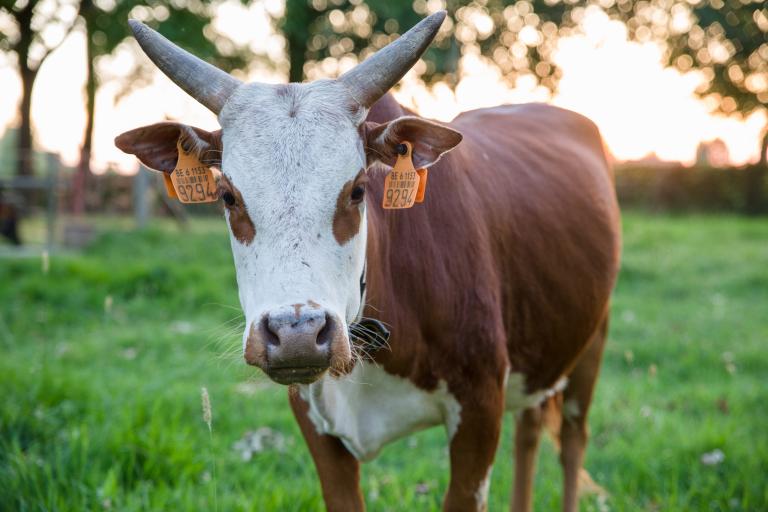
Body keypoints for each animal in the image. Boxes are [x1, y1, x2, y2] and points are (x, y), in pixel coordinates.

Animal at [115, 13, 616, 512]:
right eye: (227, 195)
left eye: (357, 190)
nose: (297, 335)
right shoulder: (315, 421)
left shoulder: (479, 410)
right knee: (530, 430)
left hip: (590, 341)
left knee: (572, 440)